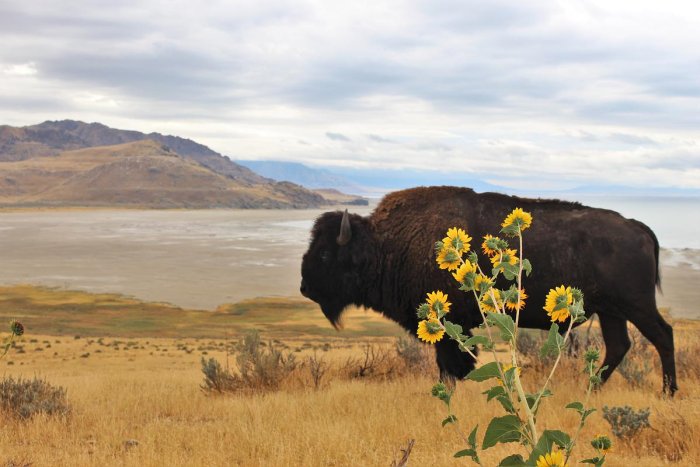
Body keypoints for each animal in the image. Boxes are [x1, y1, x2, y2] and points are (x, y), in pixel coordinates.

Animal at [300, 186, 677, 394]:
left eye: (325, 253)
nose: (304, 287)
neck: (385, 244)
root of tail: (638, 227)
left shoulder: (452, 326)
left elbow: (453, 364)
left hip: (636, 305)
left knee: (662, 336)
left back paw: (668, 392)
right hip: (612, 311)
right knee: (619, 346)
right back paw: (592, 388)